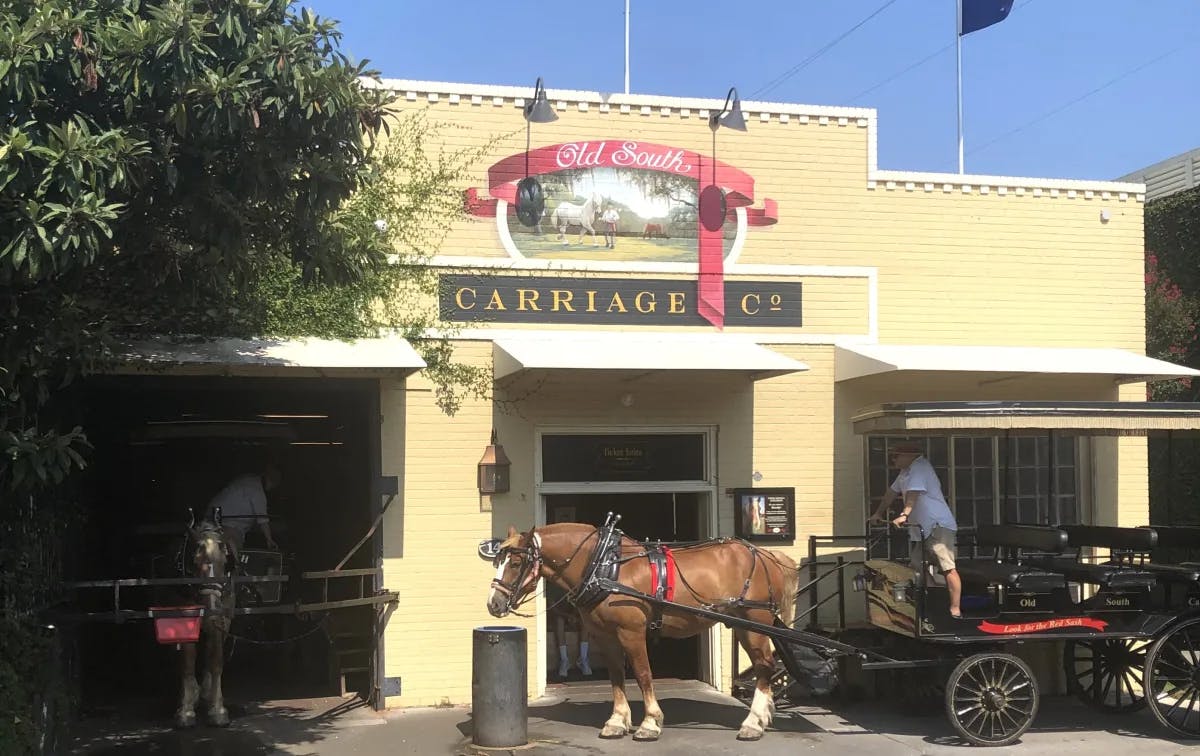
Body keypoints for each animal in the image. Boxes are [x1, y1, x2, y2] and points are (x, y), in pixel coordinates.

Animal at [482, 523, 801, 744]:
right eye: (497, 561)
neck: (604, 568)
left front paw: (650, 723)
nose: (494, 604)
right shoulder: (605, 636)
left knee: (764, 666)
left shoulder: (631, 633)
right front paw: (617, 721)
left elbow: (643, 673)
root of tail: (766, 554)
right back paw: (761, 718)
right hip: (744, 624)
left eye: (514, 563)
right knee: (763, 666)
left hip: (754, 621)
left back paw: (752, 723)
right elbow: (616, 675)